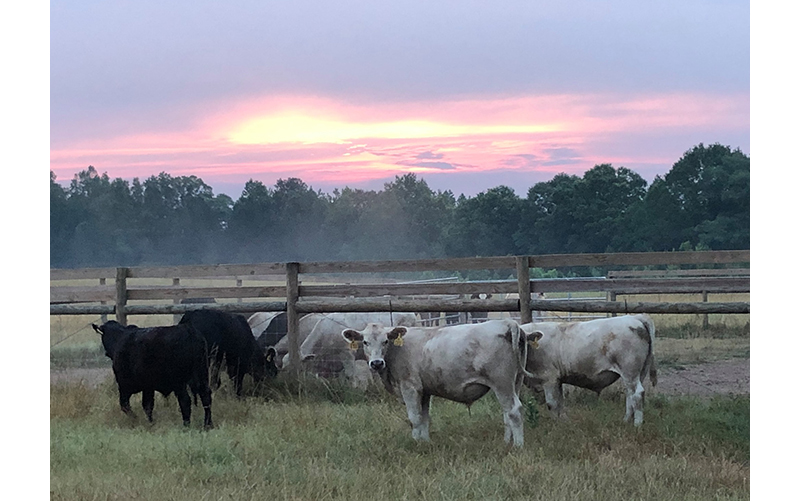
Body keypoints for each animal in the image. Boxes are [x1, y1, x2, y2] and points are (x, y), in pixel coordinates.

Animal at [344, 318, 536, 448]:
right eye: (365, 342)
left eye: (385, 341)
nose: (376, 363)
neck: (397, 349)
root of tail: (507, 322)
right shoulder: (425, 391)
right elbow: (424, 417)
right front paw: (425, 442)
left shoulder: (410, 387)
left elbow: (414, 418)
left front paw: (416, 443)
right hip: (515, 382)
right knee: (507, 414)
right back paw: (506, 442)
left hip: (501, 382)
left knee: (514, 411)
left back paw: (518, 446)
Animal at [520, 312, 656, 426]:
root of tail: (635, 317)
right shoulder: (558, 380)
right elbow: (560, 402)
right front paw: (564, 421)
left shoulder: (549, 379)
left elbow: (552, 404)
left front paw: (556, 425)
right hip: (636, 373)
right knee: (630, 395)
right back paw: (626, 420)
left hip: (629, 371)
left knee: (637, 394)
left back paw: (637, 425)